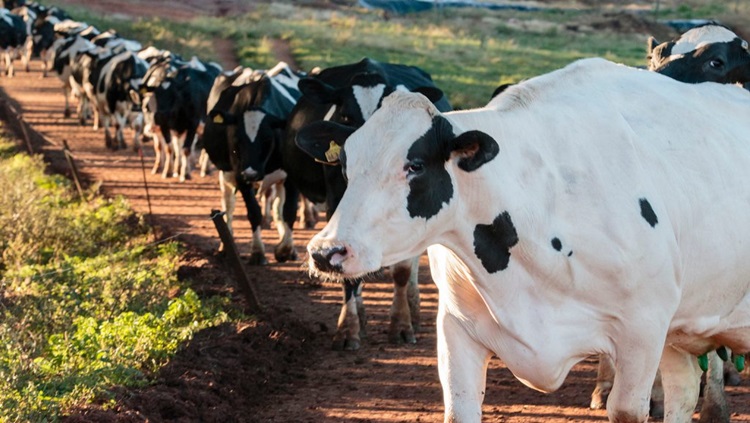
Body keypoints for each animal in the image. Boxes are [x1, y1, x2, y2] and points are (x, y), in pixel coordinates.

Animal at [203, 63, 306, 264]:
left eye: (267, 139)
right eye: (236, 141)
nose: (251, 173)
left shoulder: (291, 177)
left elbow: (288, 211)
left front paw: (285, 249)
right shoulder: (239, 175)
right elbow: (253, 212)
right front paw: (257, 252)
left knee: (277, 208)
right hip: (226, 174)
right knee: (228, 205)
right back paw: (225, 246)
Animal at [288, 58, 452, 352]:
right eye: (346, 116)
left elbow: (402, 271)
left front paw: (401, 325)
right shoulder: (336, 209)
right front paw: (349, 328)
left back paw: (413, 309)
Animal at [306, 57, 750, 423]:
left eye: (414, 165)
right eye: (345, 165)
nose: (326, 251)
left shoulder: (643, 329)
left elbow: (626, 409)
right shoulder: (456, 326)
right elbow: (459, 408)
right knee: (683, 389)